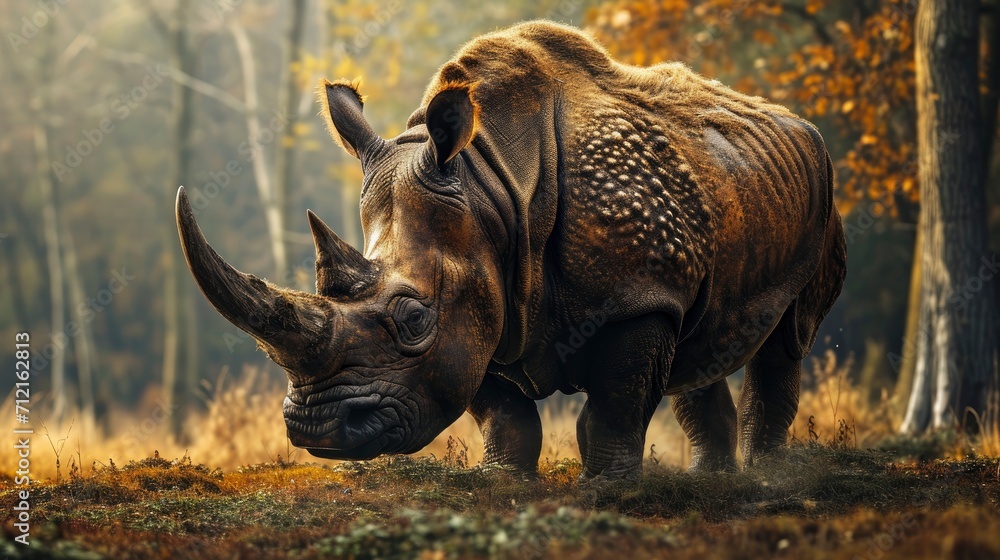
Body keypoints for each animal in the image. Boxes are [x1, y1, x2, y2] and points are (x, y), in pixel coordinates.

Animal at [176, 21, 846, 479]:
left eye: (412, 318)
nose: (320, 429)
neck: (492, 190)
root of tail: (796, 122)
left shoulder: (640, 295)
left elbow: (615, 404)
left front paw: (611, 488)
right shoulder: (484, 290)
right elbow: (500, 408)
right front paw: (502, 479)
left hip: (825, 194)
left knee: (787, 339)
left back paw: (763, 480)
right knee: (700, 343)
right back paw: (714, 484)